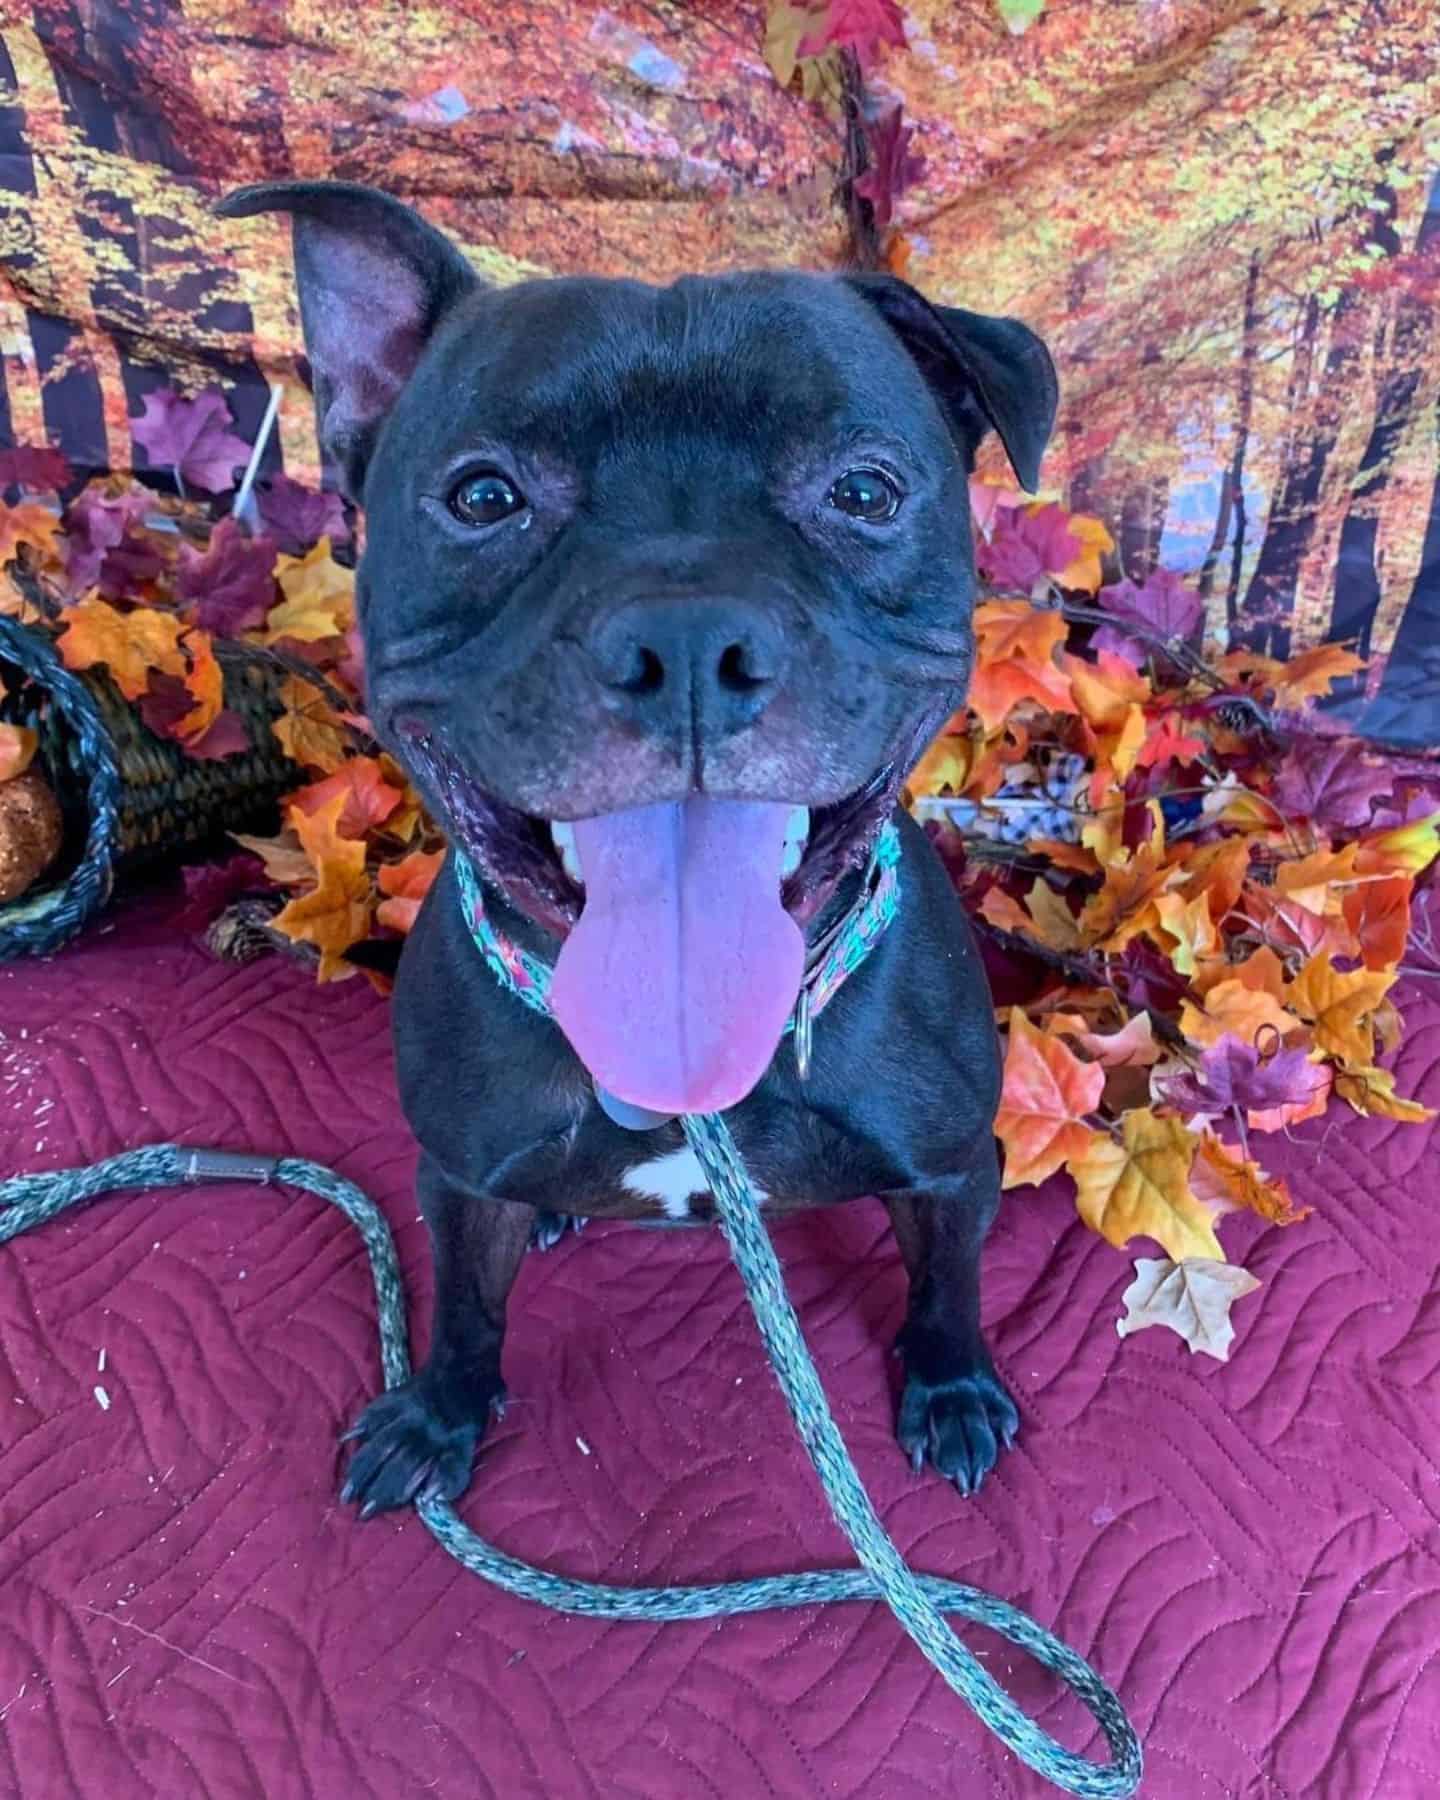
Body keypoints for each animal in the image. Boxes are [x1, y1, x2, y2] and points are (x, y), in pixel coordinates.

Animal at [216, 182, 1058, 1512]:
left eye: (866, 493)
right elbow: (464, 1307)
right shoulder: (457, 1177)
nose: (690, 637)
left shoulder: (948, 1167)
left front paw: (953, 1385)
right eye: (484, 498)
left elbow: (950, 1282)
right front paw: (439, 1415)